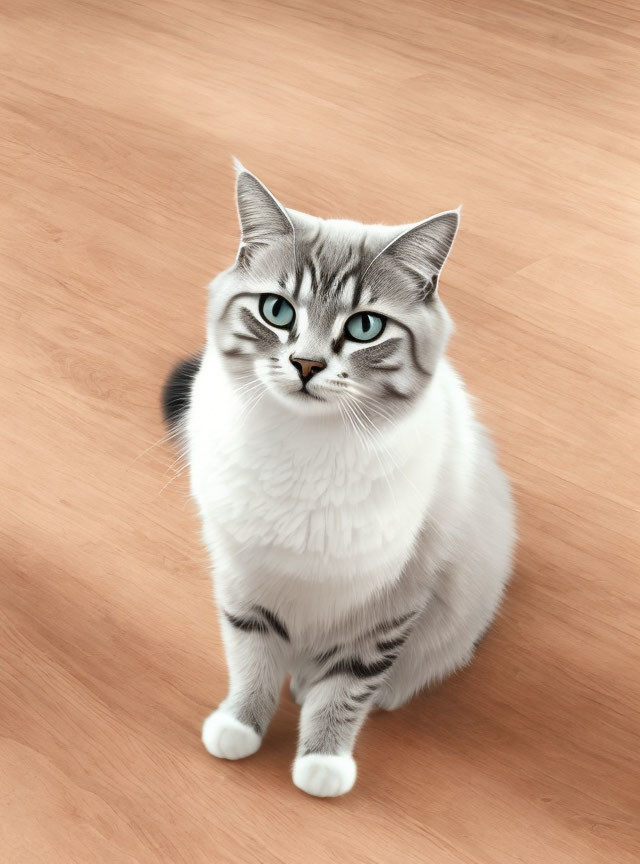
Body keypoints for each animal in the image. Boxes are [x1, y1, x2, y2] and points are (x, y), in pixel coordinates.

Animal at [164, 162, 516, 796]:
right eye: (278, 311)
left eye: (365, 327)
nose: (305, 364)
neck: (303, 448)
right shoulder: (244, 574)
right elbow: (250, 659)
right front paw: (240, 727)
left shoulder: (392, 601)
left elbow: (349, 686)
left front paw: (322, 762)